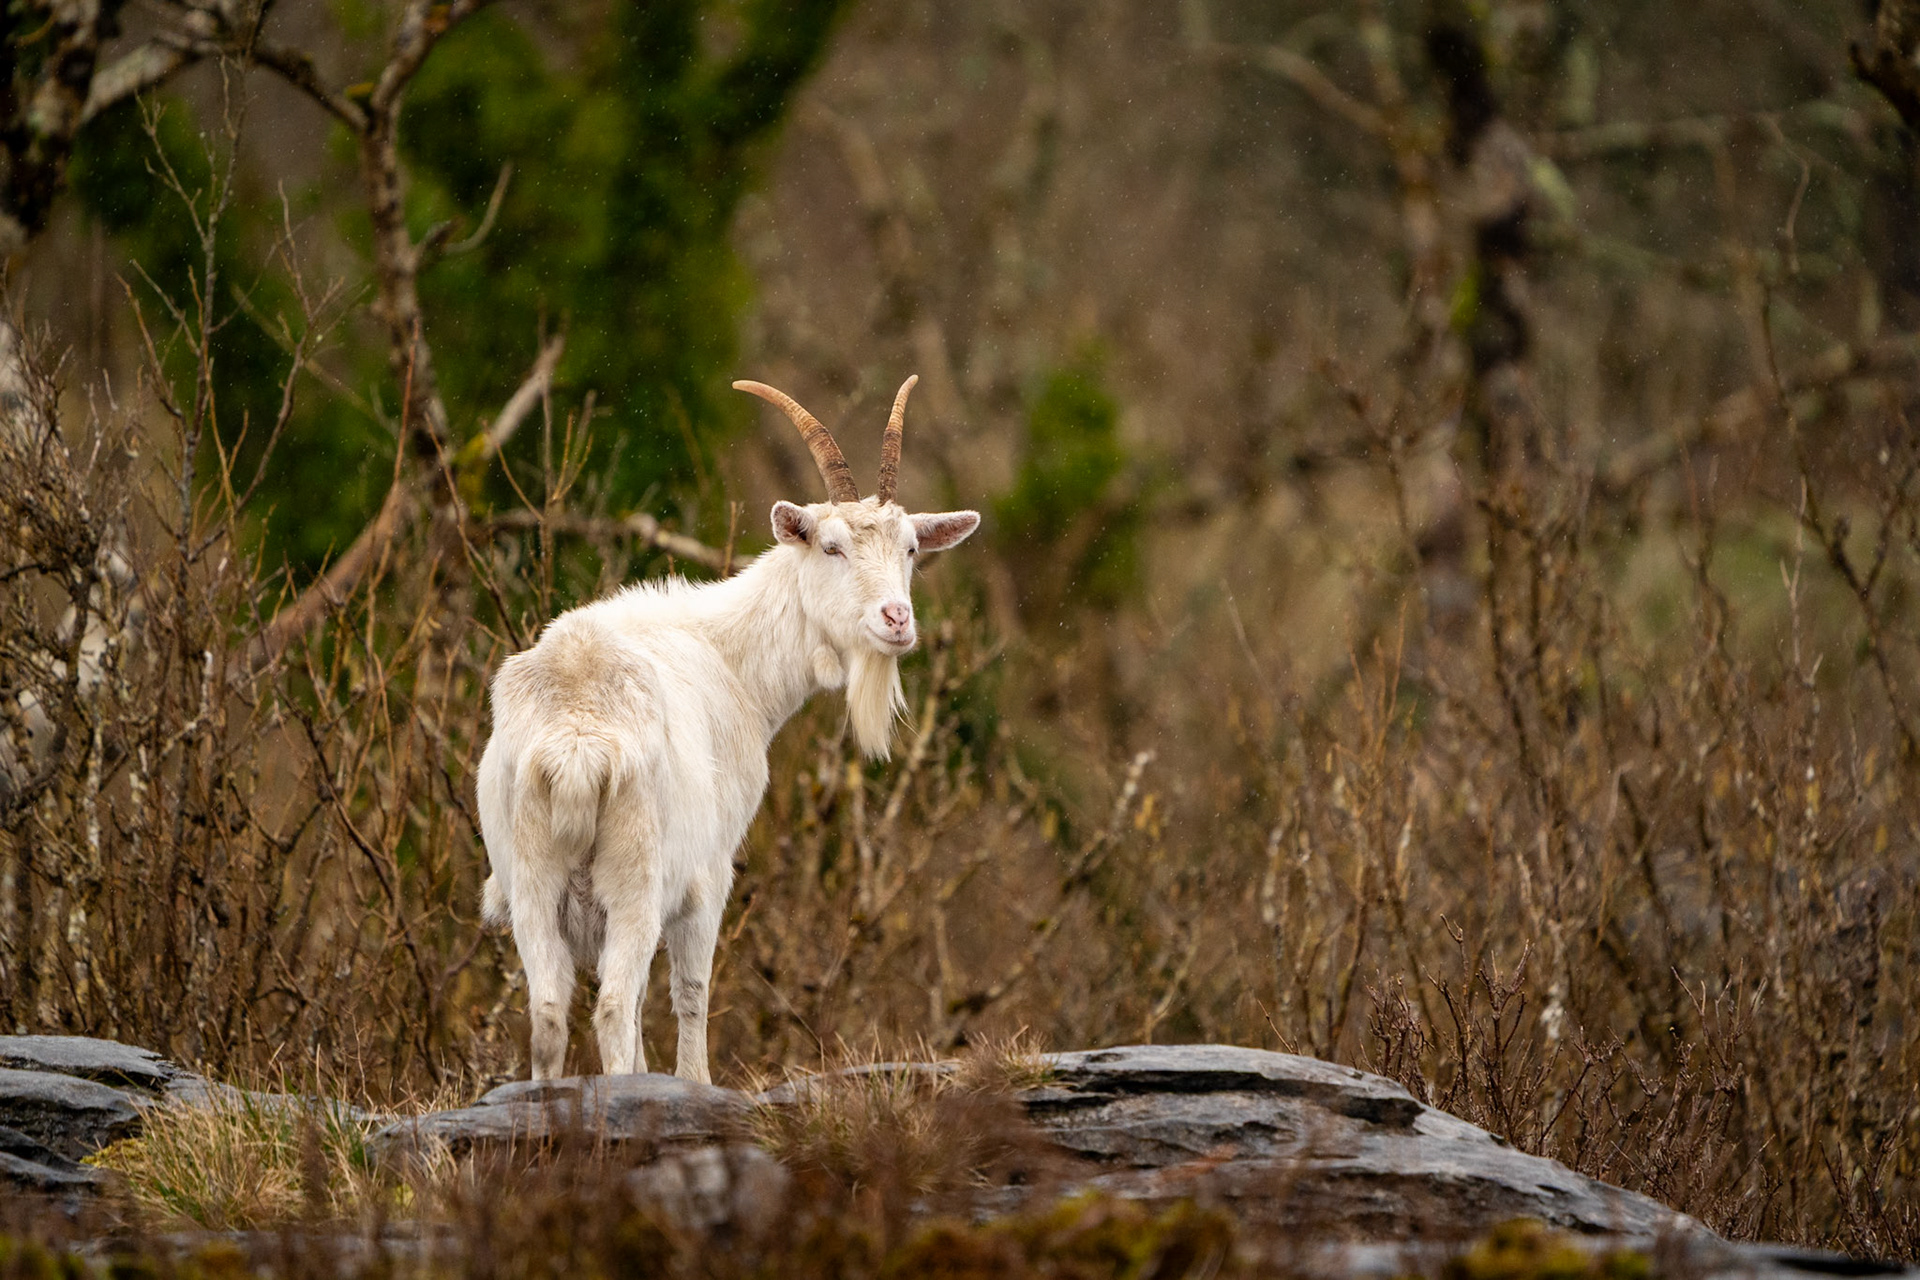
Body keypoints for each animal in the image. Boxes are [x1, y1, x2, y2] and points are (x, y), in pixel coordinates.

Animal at [475, 375, 979, 1082]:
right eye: (831, 546)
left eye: (910, 548)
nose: (896, 619)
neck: (727, 653)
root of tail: (576, 736)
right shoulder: (708, 877)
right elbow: (690, 994)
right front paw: (695, 1083)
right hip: (633, 881)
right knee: (613, 1007)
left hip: (532, 883)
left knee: (549, 1014)